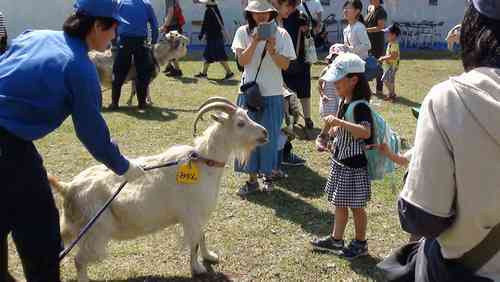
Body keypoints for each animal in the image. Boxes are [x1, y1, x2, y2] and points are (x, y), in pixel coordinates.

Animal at [49, 97, 270, 282]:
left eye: (248, 116)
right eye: (240, 123)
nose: (265, 133)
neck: (203, 163)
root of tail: (68, 188)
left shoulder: (199, 215)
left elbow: (202, 236)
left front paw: (210, 257)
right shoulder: (190, 216)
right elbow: (193, 242)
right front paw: (197, 268)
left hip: (72, 226)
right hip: (95, 231)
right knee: (79, 260)